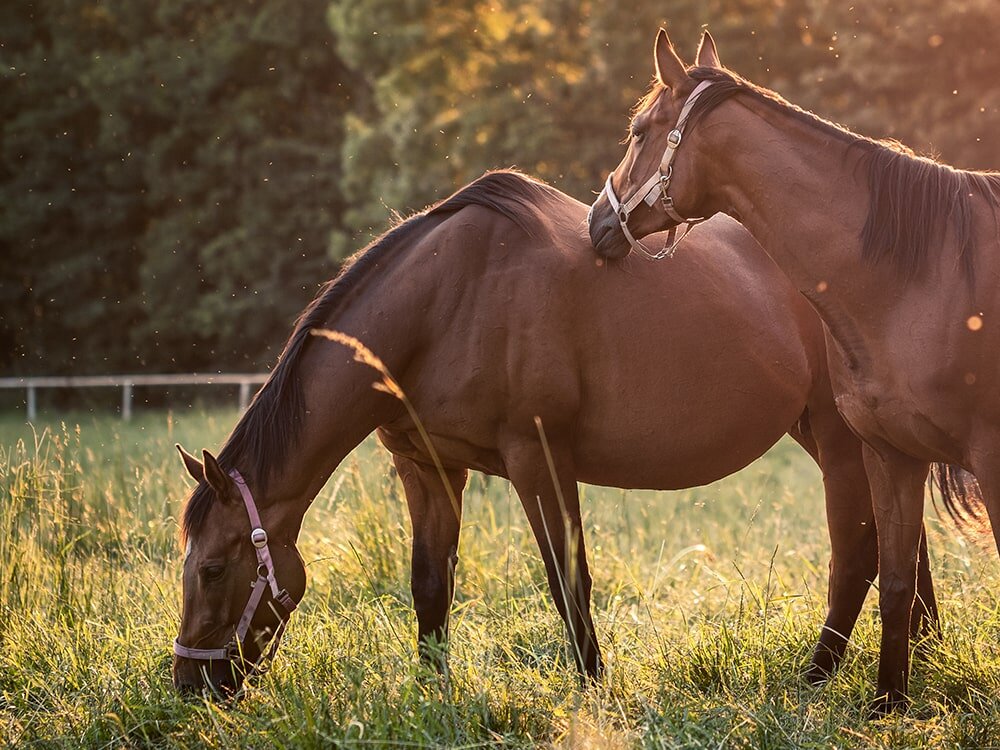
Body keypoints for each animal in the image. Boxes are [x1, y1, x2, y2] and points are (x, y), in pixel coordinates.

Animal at [171, 170, 936, 697]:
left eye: (212, 569)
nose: (191, 685)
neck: (445, 302)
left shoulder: (537, 459)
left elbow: (569, 580)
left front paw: (594, 690)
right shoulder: (429, 468)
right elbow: (429, 584)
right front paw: (432, 692)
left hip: (839, 440)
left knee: (859, 554)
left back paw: (824, 677)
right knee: (903, 544)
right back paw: (922, 656)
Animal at [587, 28, 999, 713]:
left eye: (640, 130)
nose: (596, 223)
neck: (925, 276)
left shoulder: (987, 459)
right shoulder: (891, 453)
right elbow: (894, 576)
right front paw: (888, 705)